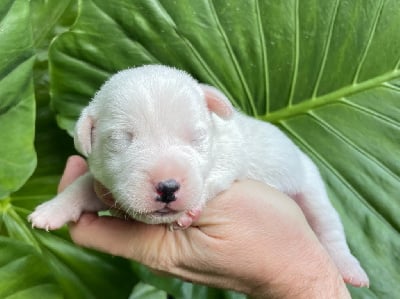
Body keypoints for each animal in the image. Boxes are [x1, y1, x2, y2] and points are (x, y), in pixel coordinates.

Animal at [29, 65, 370, 288]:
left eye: (197, 137)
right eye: (121, 140)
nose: (168, 187)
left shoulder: (229, 155)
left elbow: (215, 176)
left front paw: (193, 207)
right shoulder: (106, 181)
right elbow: (83, 185)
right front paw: (51, 210)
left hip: (312, 185)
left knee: (329, 227)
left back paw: (350, 267)